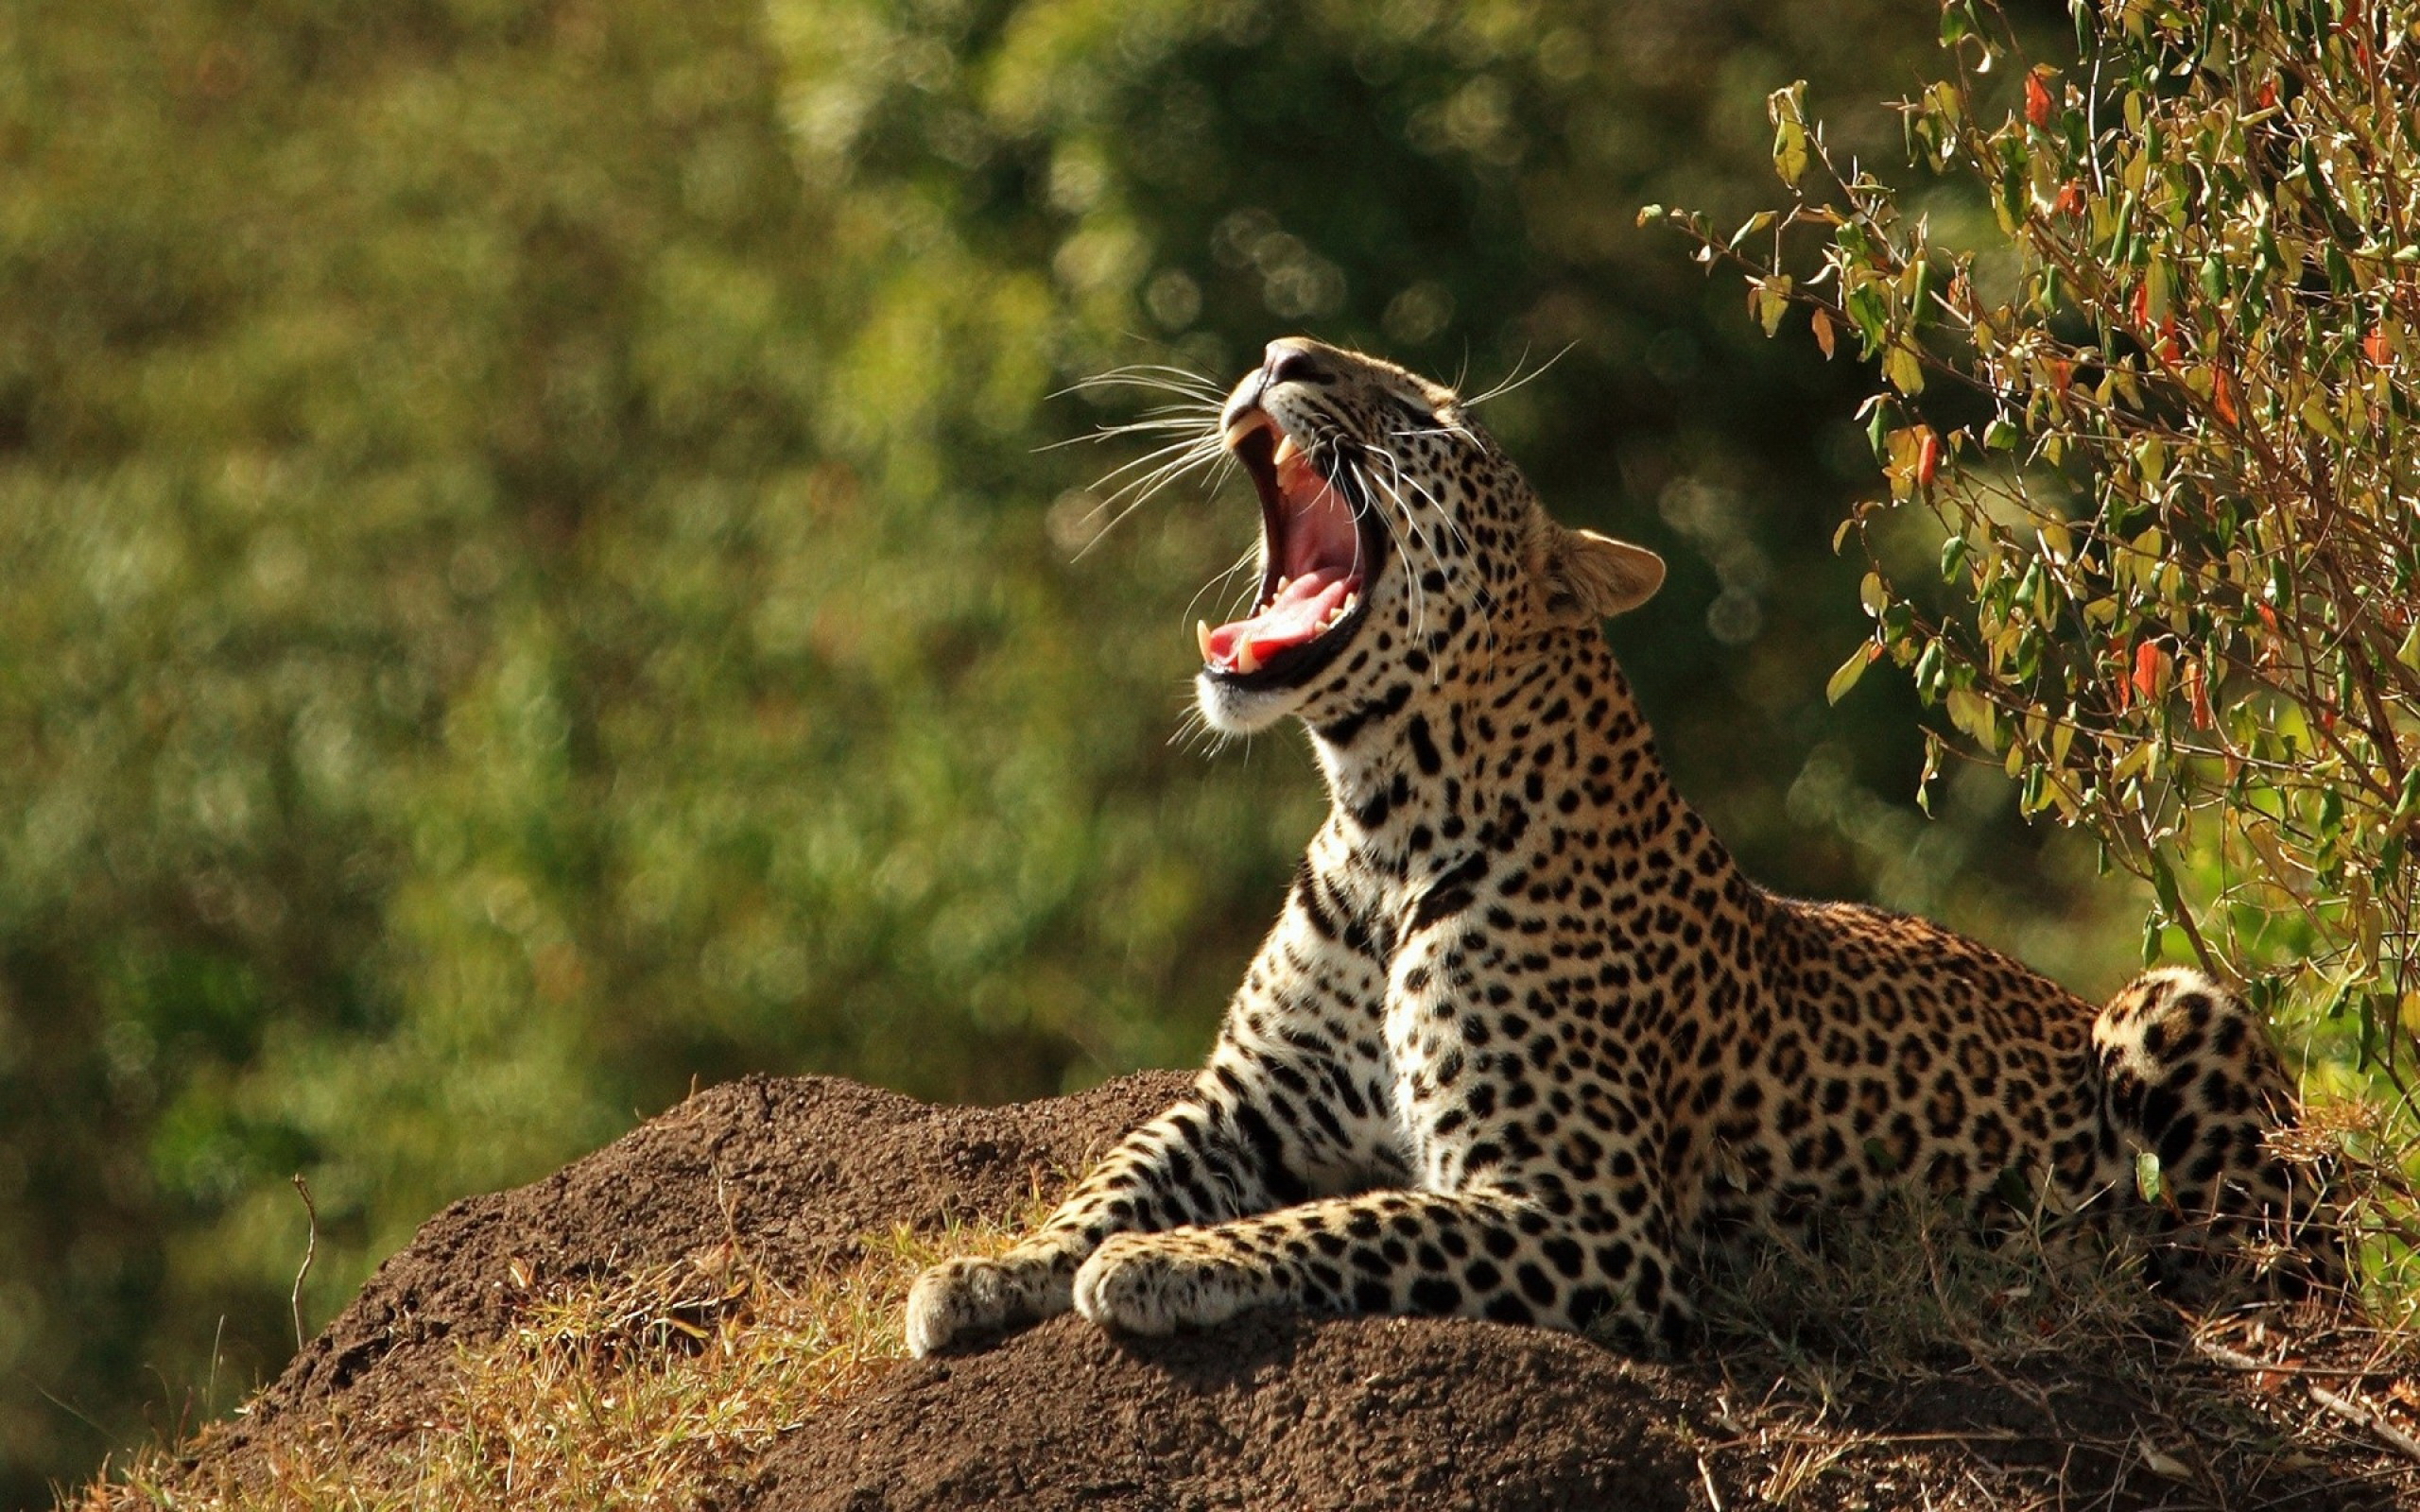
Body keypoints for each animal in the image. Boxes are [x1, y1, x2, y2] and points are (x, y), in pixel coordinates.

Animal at [905, 335, 2323, 1354]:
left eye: (1435, 421)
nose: (1279, 353)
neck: (1385, 824)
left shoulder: (1582, 1215)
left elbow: (1344, 1218)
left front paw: (1164, 1263)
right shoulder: (1243, 1101)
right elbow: (1112, 1171)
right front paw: (988, 1270)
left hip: (2171, 1005)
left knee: (2257, 1235)